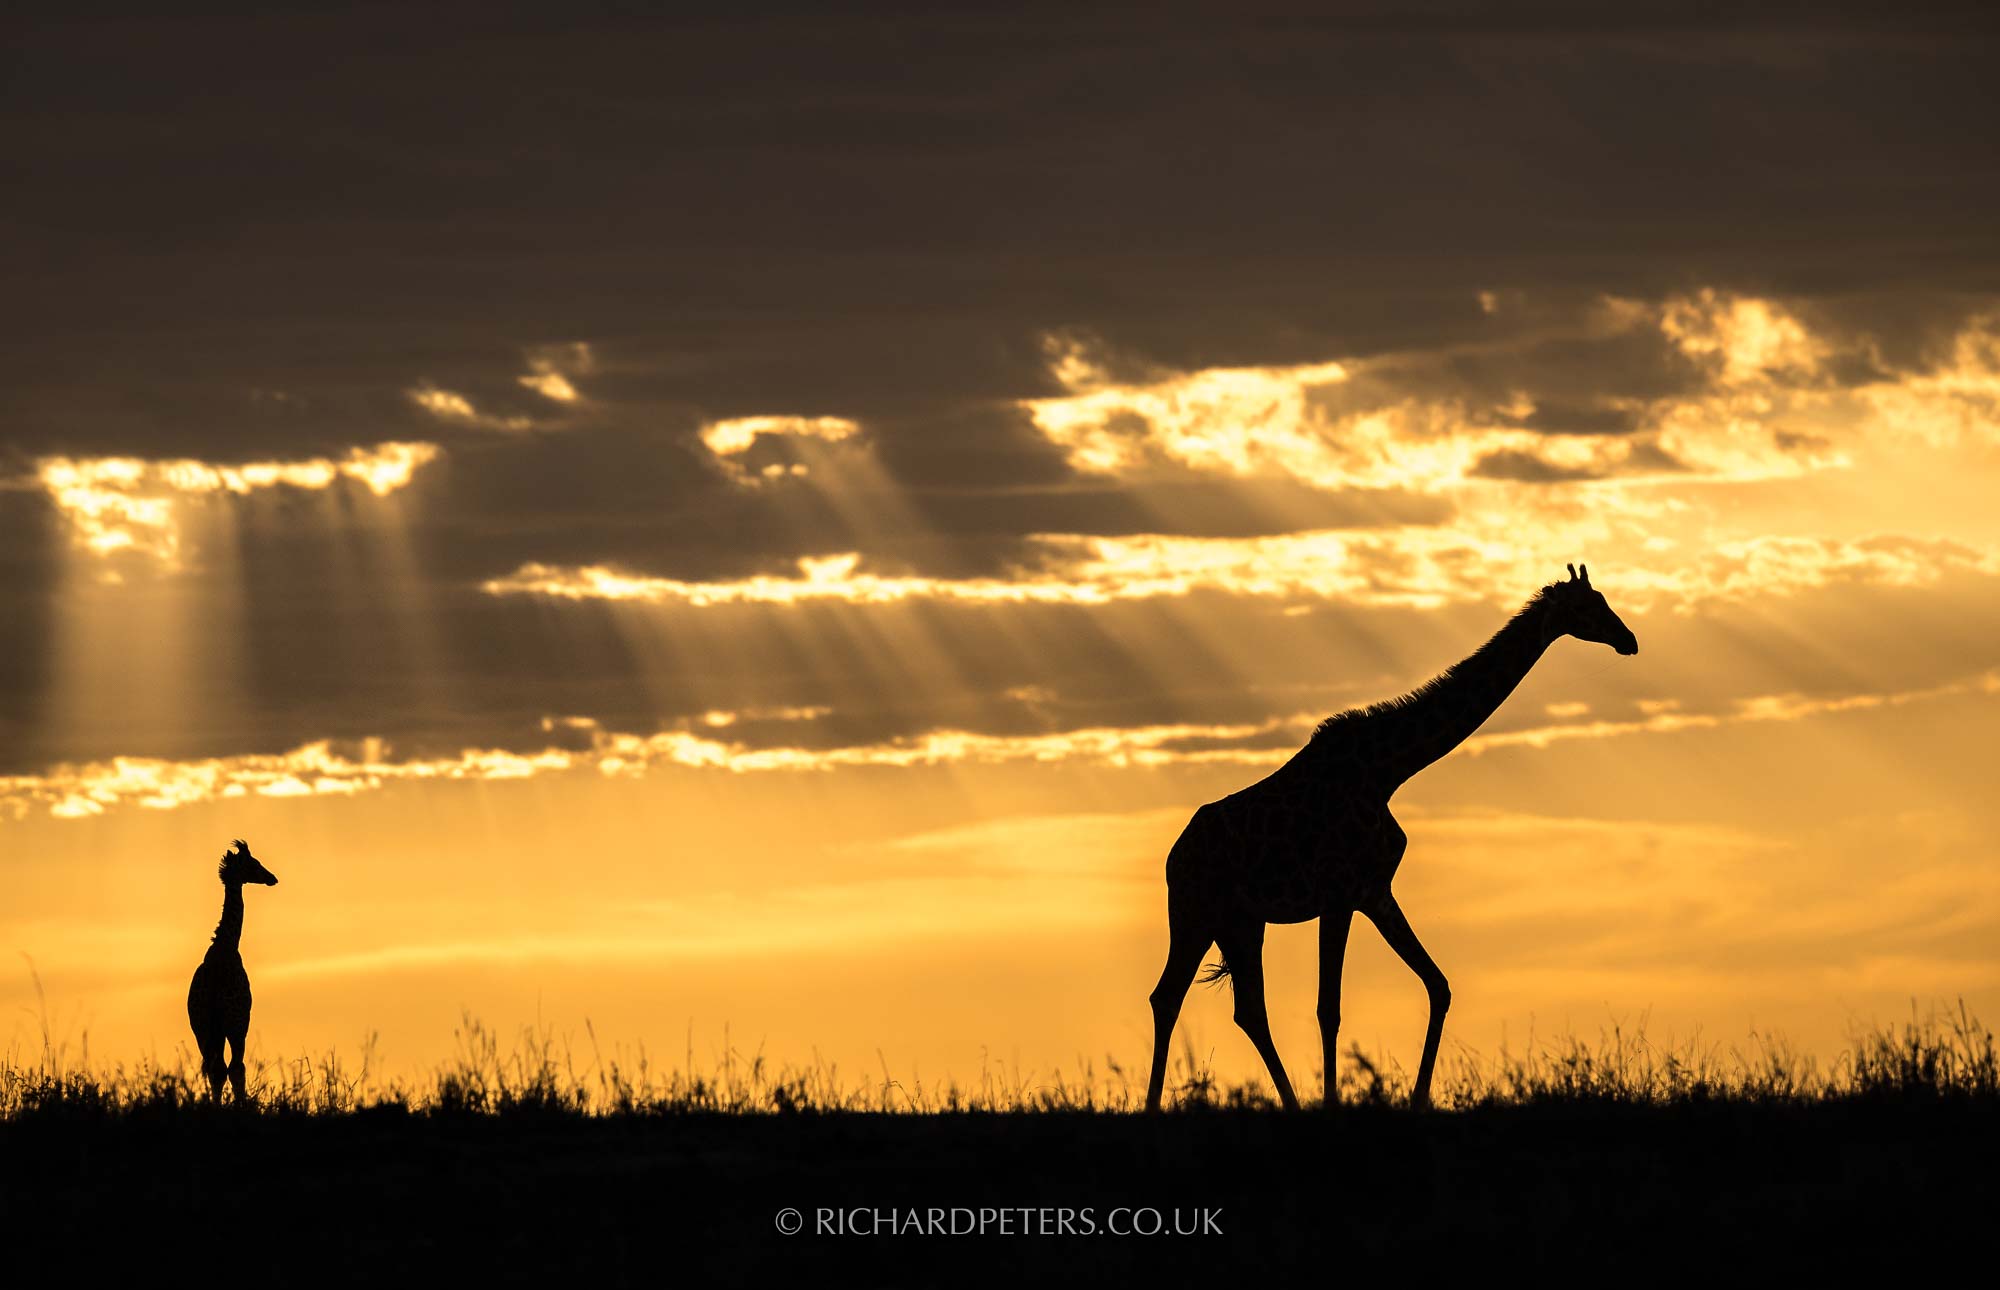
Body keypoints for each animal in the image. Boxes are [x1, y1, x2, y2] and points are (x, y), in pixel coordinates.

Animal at [186, 840, 278, 1104]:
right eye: (254, 863)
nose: (272, 878)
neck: (226, 945)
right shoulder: (241, 1021)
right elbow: (237, 1069)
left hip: (202, 1027)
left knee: (215, 1068)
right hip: (234, 1024)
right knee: (234, 1067)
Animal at [1144, 564, 1640, 1104]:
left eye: (1604, 598)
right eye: (1588, 606)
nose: (1629, 640)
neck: (1387, 769)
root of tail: (1173, 857)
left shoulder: (1374, 892)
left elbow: (1438, 985)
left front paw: (1418, 1097)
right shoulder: (1338, 895)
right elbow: (1329, 1008)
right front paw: (1334, 1103)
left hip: (1239, 921)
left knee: (1241, 1009)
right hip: (1194, 912)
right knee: (1170, 997)